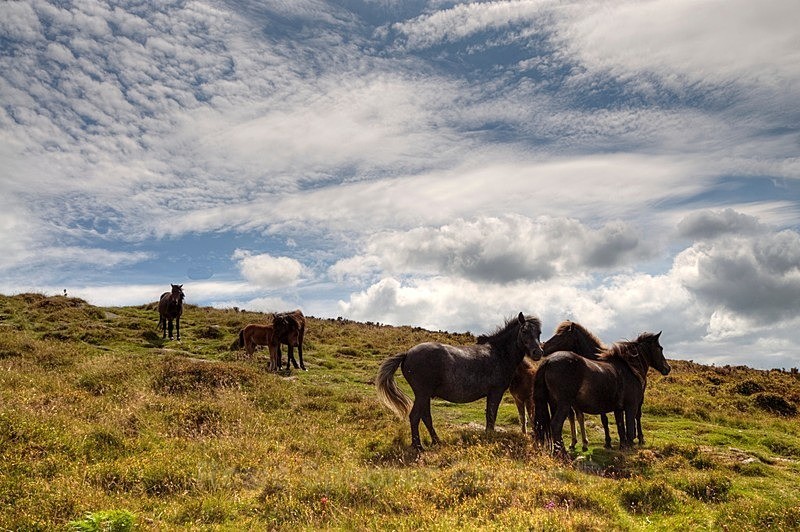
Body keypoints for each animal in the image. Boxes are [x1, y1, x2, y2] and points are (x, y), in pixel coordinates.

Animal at [376, 313, 544, 450]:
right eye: (524, 331)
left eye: (539, 333)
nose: (538, 353)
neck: (499, 354)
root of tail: (407, 354)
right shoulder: (495, 393)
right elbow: (491, 417)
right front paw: (489, 438)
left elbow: (490, 417)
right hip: (422, 394)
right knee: (415, 417)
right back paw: (418, 446)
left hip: (424, 396)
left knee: (426, 417)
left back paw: (436, 441)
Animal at [533, 332, 670, 455]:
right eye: (660, 348)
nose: (667, 368)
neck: (629, 368)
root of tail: (548, 361)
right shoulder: (630, 407)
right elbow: (629, 429)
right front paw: (629, 447)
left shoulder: (618, 409)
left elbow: (621, 428)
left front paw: (622, 446)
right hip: (564, 404)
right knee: (556, 424)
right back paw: (562, 453)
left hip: (553, 403)